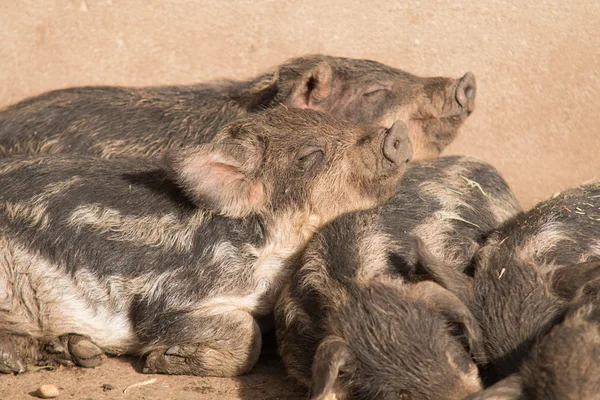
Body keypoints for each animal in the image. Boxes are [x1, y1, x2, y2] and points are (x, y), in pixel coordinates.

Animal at [0, 108, 412, 376]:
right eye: (309, 155)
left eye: (341, 120)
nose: (397, 132)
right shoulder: (165, 299)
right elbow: (246, 335)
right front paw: (155, 360)